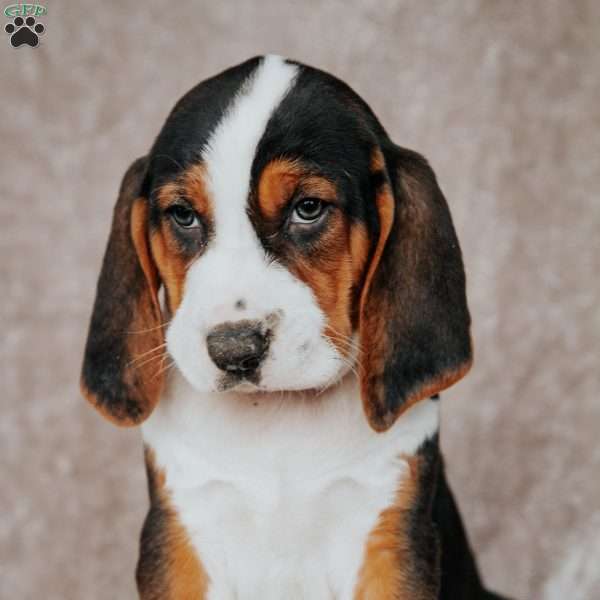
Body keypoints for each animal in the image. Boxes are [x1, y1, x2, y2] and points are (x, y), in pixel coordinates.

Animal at [82, 54, 508, 596]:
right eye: (182, 215)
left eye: (308, 209)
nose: (234, 350)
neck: (276, 421)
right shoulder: (179, 539)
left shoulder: (391, 538)